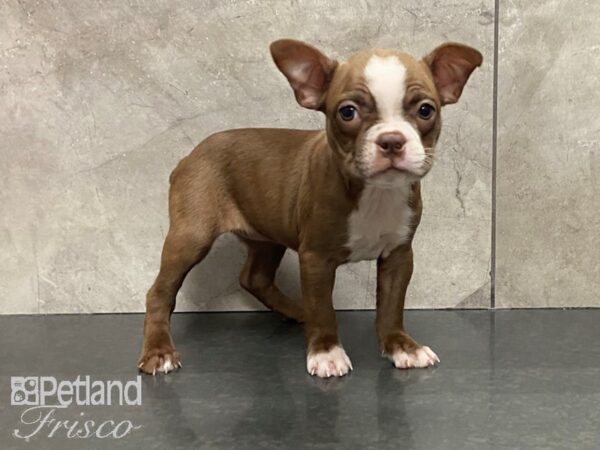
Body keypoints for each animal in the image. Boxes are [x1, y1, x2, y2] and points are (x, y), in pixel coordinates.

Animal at [138, 38, 480, 378]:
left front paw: (402, 347)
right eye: (348, 112)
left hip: (266, 237)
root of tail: (188, 156)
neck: (374, 193)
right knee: (160, 291)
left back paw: (295, 311)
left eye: (426, 110)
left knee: (254, 278)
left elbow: (392, 305)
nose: (392, 140)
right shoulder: (315, 257)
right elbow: (322, 307)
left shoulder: (398, 255)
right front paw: (326, 353)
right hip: (191, 236)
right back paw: (159, 351)